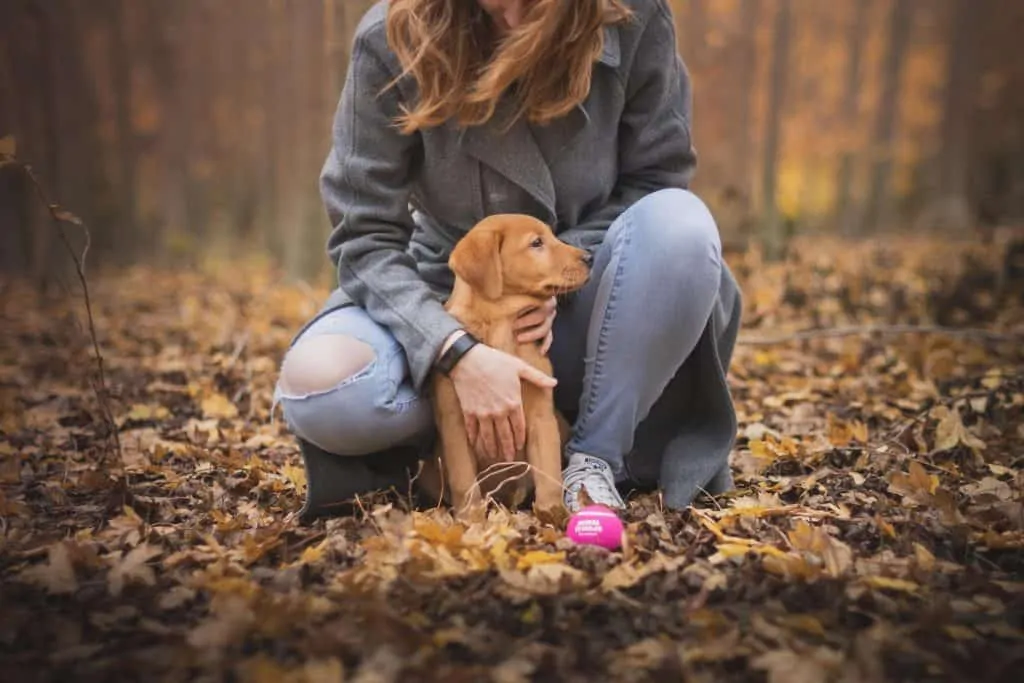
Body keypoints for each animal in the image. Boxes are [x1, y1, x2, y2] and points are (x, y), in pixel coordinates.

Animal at [421, 216, 593, 520]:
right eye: (536, 243)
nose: (590, 258)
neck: (500, 322)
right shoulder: (454, 422)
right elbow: (464, 482)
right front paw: (471, 522)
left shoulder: (541, 416)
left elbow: (549, 474)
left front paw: (554, 517)